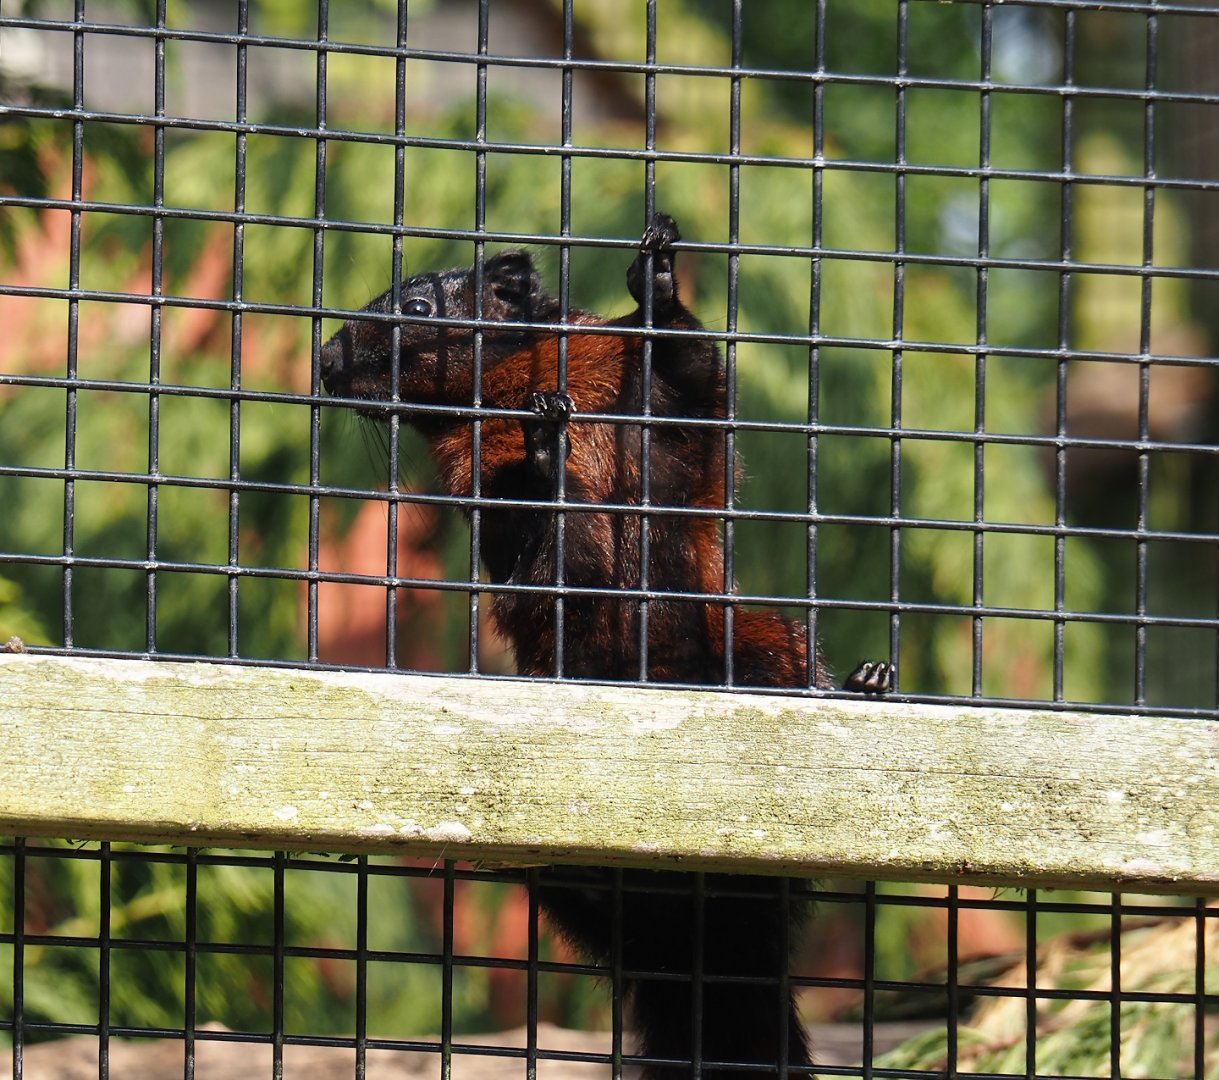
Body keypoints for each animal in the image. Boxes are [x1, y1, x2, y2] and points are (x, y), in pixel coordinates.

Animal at [320, 216, 892, 1078]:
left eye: (416, 304)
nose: (324, 361)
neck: (512, 381)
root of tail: (704, 945)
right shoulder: (472, 474)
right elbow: (525, 543)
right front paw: (545, 454)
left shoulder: (634, 383)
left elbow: (693, 380)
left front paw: (655, 277)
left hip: (754, 639)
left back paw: (865, 682)